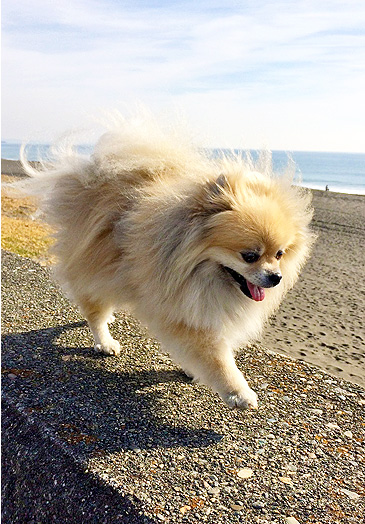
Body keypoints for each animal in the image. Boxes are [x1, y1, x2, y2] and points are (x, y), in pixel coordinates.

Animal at [18, 114, 312, 410]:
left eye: (279, 254)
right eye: (249, 256)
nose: (276, 277)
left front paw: (193, 370)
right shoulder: (184, 312)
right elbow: (216, 358)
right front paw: (238, 392)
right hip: (94, 268)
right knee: (94, 312)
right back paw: (105, 342)